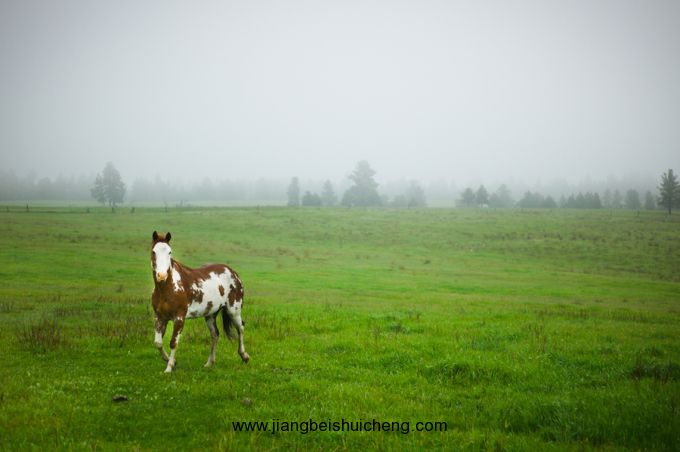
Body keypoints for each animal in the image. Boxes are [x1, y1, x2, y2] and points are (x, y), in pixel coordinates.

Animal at [150, 231, 250, 372]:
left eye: (170, 252)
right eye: (154, 252)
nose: (162, 276)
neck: (167, 289)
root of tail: (233, 272)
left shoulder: (179, 318)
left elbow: (173, 343)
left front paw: (169, 368)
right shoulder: (160, 317)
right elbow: (158, 343)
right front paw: (172, 361)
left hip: (233, 310)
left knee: (240, 327)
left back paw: (244, 356)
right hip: (211, 314)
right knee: (215, 335)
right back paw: (209, 363)